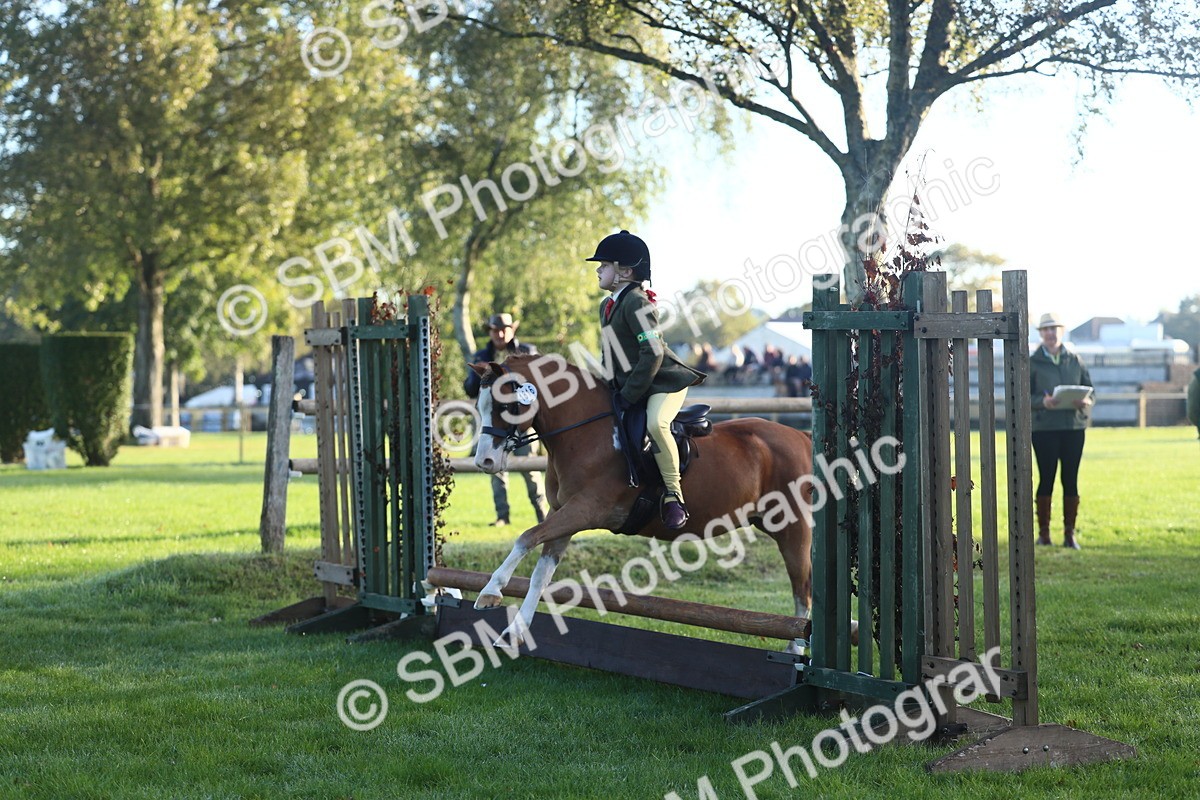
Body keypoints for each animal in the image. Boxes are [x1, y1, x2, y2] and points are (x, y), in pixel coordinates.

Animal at [467, 353, 815, 649]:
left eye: (506, 406)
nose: (484, 461)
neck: (587, 434)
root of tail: (802, 437)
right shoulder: (562, 513)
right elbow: (541, 573)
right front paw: (514, 632)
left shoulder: (585, 510)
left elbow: (526, 537)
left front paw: (490, 592)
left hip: (794, 528)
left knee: (803, 588)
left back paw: (796, 649)